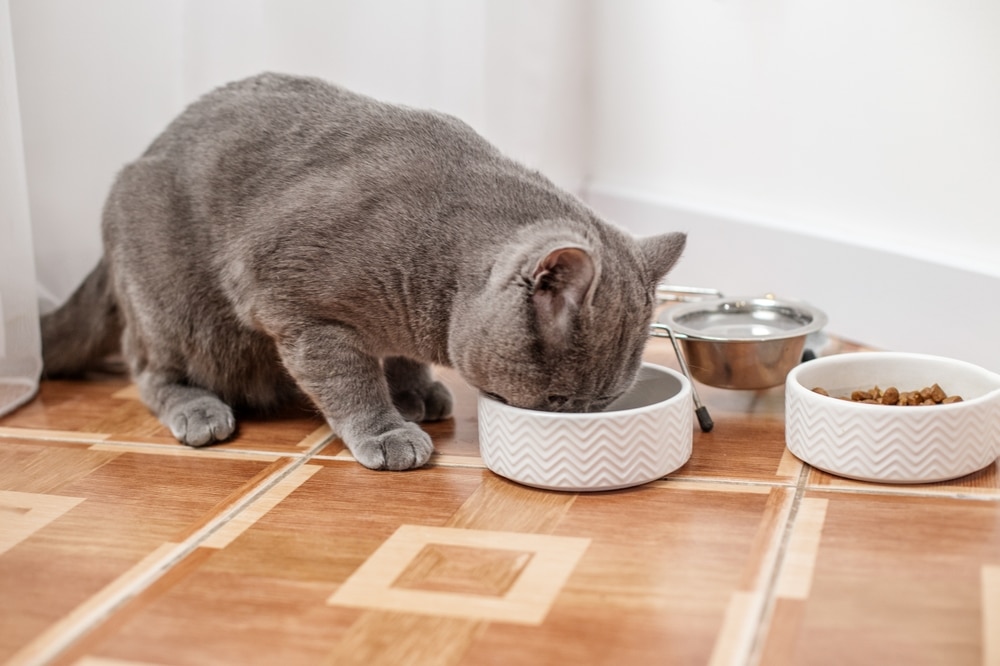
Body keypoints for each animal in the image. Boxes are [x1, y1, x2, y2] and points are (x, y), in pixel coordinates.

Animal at [39, 72, 684, 470]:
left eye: (600, 403)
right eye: (556, 399)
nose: (573, 424)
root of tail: (141, 156)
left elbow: (398, 356)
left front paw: (415, 391)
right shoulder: (301, 310)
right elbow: (349, 378)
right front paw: (388, 432)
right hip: (175, 307)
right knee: (146, 366)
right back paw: (197, 410)